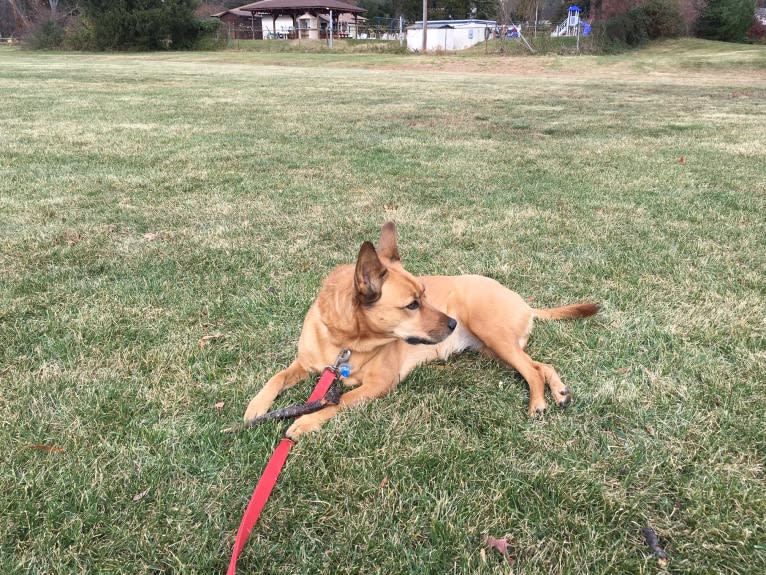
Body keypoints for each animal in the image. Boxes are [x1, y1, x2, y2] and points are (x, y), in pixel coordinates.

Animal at [246, 223, 600, 438]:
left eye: (426, 294)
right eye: (412, 304)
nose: (453, 323)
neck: (344, 340)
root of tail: (524, 302)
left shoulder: (379, 384)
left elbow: (338, 401)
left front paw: (305, 421)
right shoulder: (305, 364)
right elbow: (277, 377)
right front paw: (256, 407)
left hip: (494, 335)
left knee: (532, 370)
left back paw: (538, 402)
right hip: (495, 347)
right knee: (541, 365)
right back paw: (559, 391)